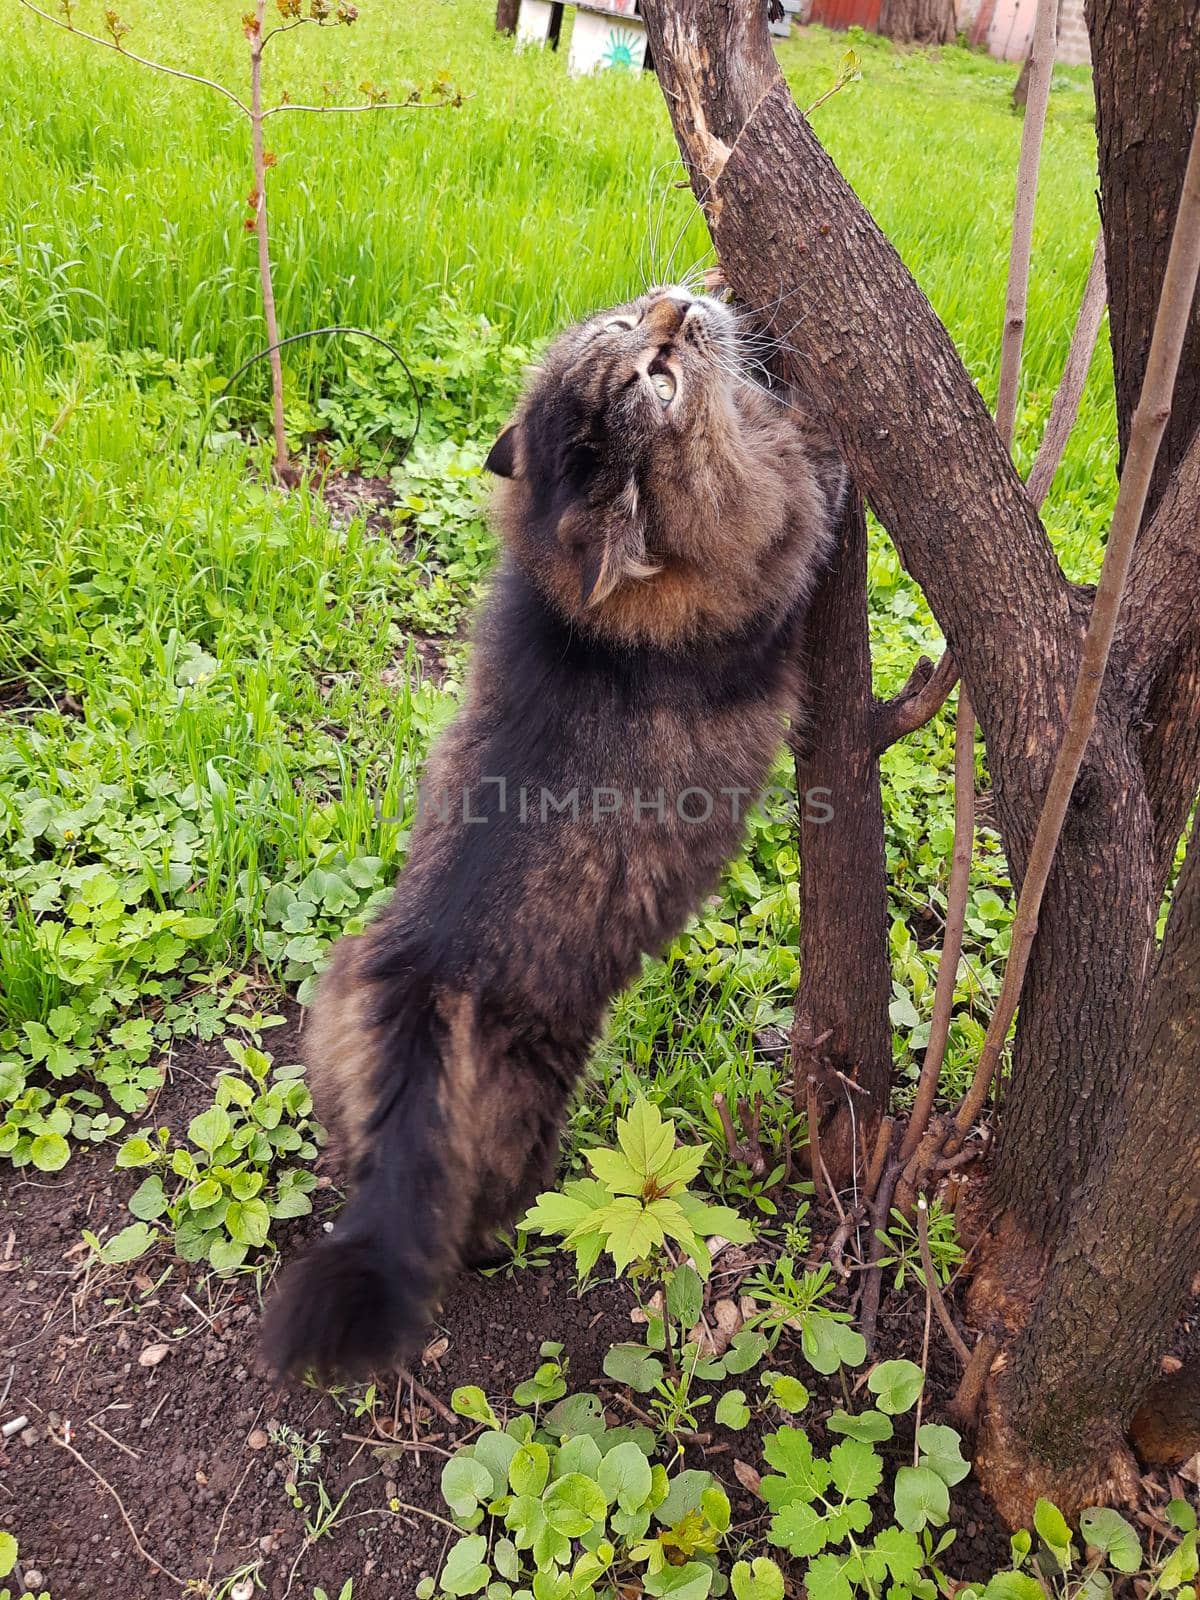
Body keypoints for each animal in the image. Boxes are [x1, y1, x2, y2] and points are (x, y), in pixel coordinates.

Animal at [262, 284, 844, 1376]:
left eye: (629, 328)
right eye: (653, 376)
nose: (671, 305)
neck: (581, 607)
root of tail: (426, 989)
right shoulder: (781, 563)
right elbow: (813, 494)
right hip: (530, 1119)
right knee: (469, 1224)